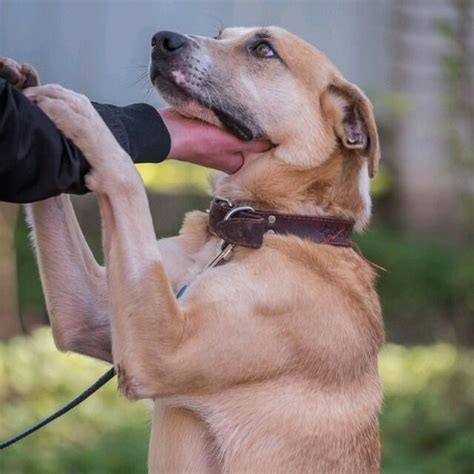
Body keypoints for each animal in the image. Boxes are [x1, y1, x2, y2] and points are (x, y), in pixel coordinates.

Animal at [12, 26, 384, 474]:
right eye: (221, 35)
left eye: (263, 49)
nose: (162, 39)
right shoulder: (88, 318)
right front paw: (23, 84)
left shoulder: (162, 348)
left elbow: (126, 179)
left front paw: (88, 116)